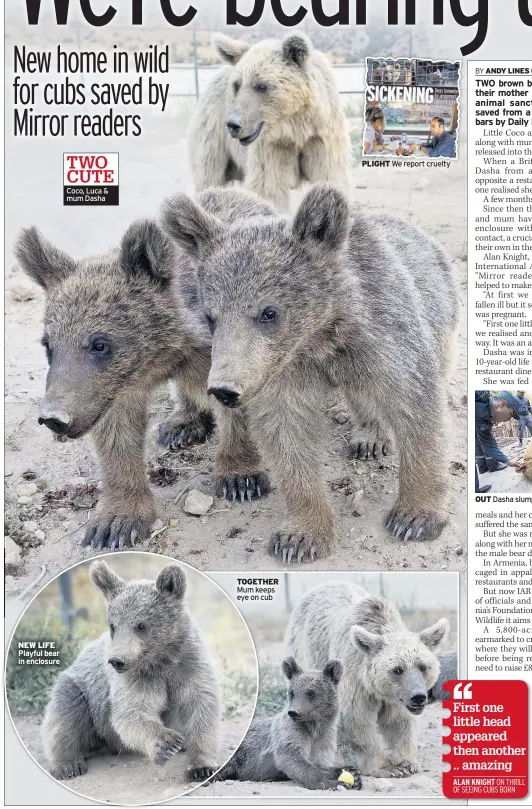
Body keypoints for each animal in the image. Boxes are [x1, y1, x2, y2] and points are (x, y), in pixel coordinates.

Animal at [41, 560, 220, 780]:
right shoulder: (136, 678)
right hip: (81, 690)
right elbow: (132, 711)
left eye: (141, 625)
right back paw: (68, 765)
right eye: (113, 626)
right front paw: (167, 742)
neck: (162, 659)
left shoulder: (189, 665)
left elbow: (200, 707)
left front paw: (201, 767)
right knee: (66, 715)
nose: (117, 660)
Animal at [189, 32, 352, 210]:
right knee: (209, 175)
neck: (295, 128)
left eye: (261, 85)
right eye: (237, 85)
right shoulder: (271, 147)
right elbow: (269, 188)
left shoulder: (322, 138)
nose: (233, 124)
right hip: (213, 136)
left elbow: (329, 177)